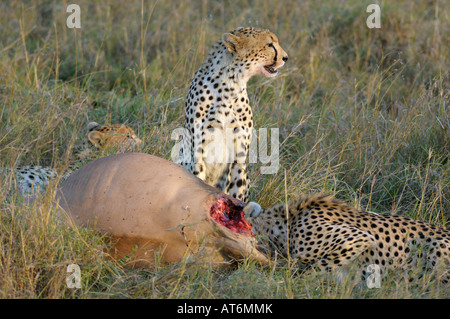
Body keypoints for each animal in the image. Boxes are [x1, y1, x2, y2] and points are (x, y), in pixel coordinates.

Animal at [177, 27, 288, 202]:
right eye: (270, 44)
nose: (286, 57)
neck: (229, 85)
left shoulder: (238, 156)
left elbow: (236, 191)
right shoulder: (197, 152)